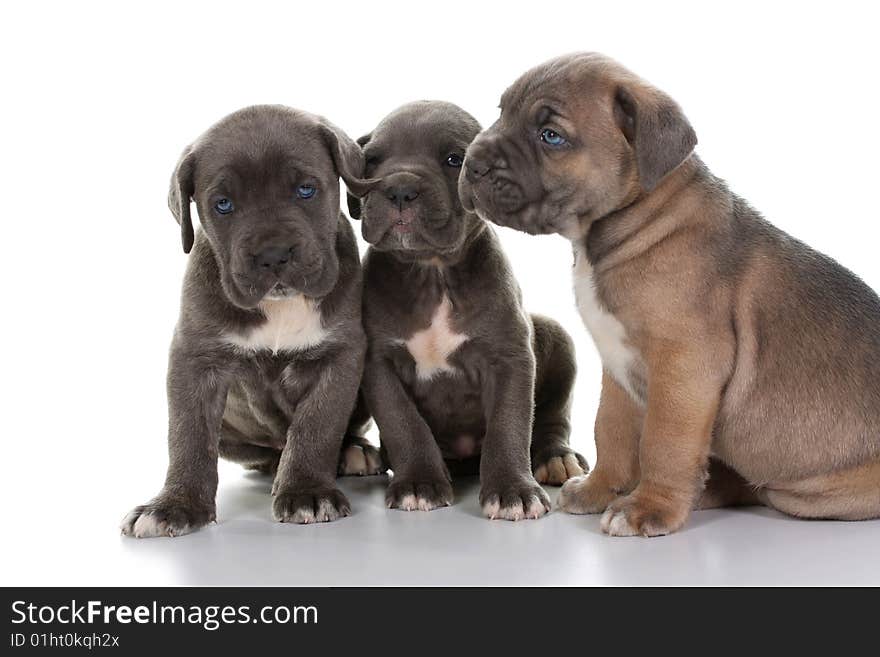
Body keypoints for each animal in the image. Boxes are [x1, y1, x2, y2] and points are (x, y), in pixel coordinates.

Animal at [120, 105, 378, 540]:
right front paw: (175, 505)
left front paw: (307, 491)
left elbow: (317, 425)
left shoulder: (339, 355)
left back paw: (353, 453)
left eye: (306, 190)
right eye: (223, 204)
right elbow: (188, 434)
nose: (273, 254)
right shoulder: (196, 359)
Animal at [348, 101, 588, 516]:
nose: (399, 188)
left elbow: (509, 424)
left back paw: (555, 456)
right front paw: (419, 483)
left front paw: (513, 491)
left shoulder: (509, 358)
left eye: (454, 160)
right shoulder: (379, 364)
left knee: (553, 416)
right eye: (372, 161)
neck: (431, 273)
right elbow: (402, 422)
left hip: (557, 339)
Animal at [458, 51, 880, 532]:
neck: (629, 223)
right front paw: (602, 490)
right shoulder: (617, 365)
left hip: (813, 493)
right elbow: (611, 430)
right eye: (502, 112)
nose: (470, 163)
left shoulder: (685, 368)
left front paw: (648, 508)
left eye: (551, 136)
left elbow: (663, 441)